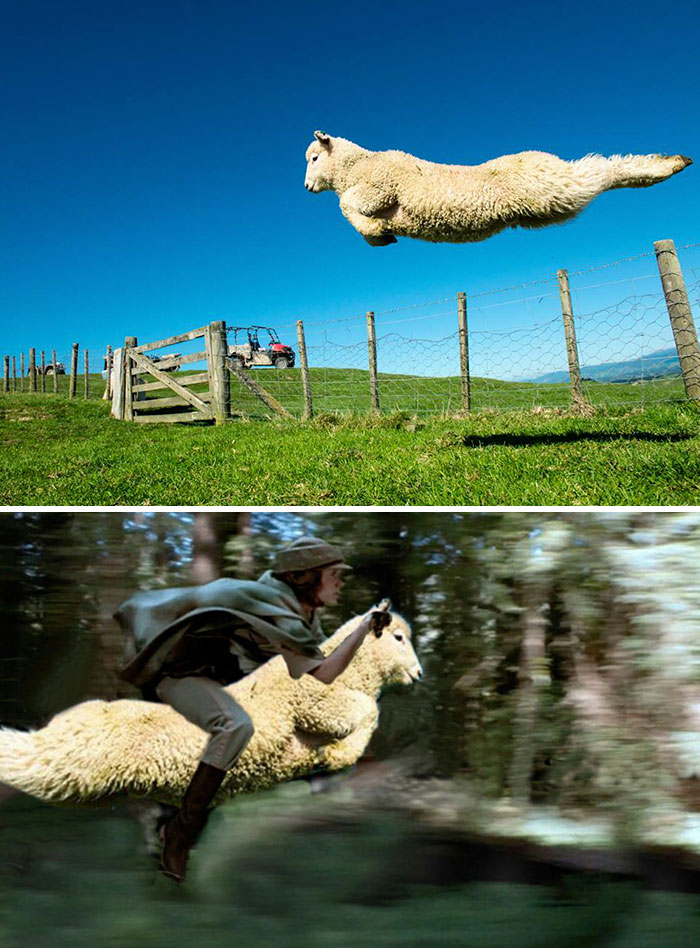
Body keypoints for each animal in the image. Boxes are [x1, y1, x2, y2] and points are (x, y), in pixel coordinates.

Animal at [0, 612, 421, 808]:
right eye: (399, 638)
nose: (419, 673)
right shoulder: (313, 702)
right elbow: (364, 713)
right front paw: (336, 752)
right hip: (73, 771)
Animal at [304, 131, 692, 246]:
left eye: (313, 158)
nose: (307, 187)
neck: (355, 167)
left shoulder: (380, 188)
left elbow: (346, 206)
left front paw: (375, 231)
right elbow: (348, 210)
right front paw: (379, 235)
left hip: (550, 184)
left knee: (602, 169)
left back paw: (664, 164)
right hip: (548, 205)